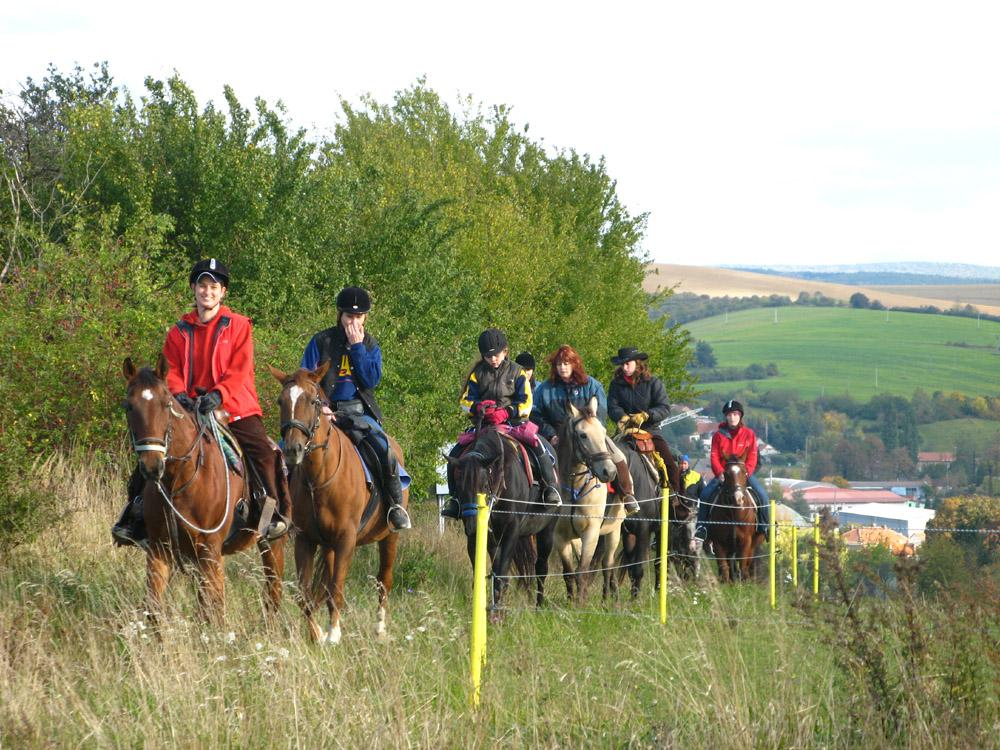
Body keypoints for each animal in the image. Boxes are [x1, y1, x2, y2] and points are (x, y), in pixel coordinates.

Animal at [122, 358, 286, 624]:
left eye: (167, 404)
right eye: (129, 406)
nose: (151, 466)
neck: (179, 480)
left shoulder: (209, 551)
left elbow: (212, 610)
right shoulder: (159, 549)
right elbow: (154, 608)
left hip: (272, 544)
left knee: (273, 590)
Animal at [270, 364, 406, 648]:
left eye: (313, 401)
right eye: (281, 401)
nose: (293, 450)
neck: (319, 477)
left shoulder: (346, 540)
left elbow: (337, 589)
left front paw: (333, 633)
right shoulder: (306, 540)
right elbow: (305, 592)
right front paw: (316, 634)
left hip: (389, 537)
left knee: (383, 580)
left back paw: (379, 628)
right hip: (329, 546)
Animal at [450, 426, 560, 620]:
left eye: (483, 486)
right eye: (459, 486)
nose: (472, 526)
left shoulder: (511, 531)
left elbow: (502, 576)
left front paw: (497, 613)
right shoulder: (481, 538)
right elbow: (483, 573)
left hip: (546, 532)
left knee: (541, 568)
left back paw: (539, 608)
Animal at [708, 450, 760, 584]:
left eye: (744, 472)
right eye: (726, 473)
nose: (738, 498)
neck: (734, 513)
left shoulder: (746, 542)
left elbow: (742, 565)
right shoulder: (718, 542)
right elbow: (724, 567)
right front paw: (726, 583)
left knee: (747, 563)